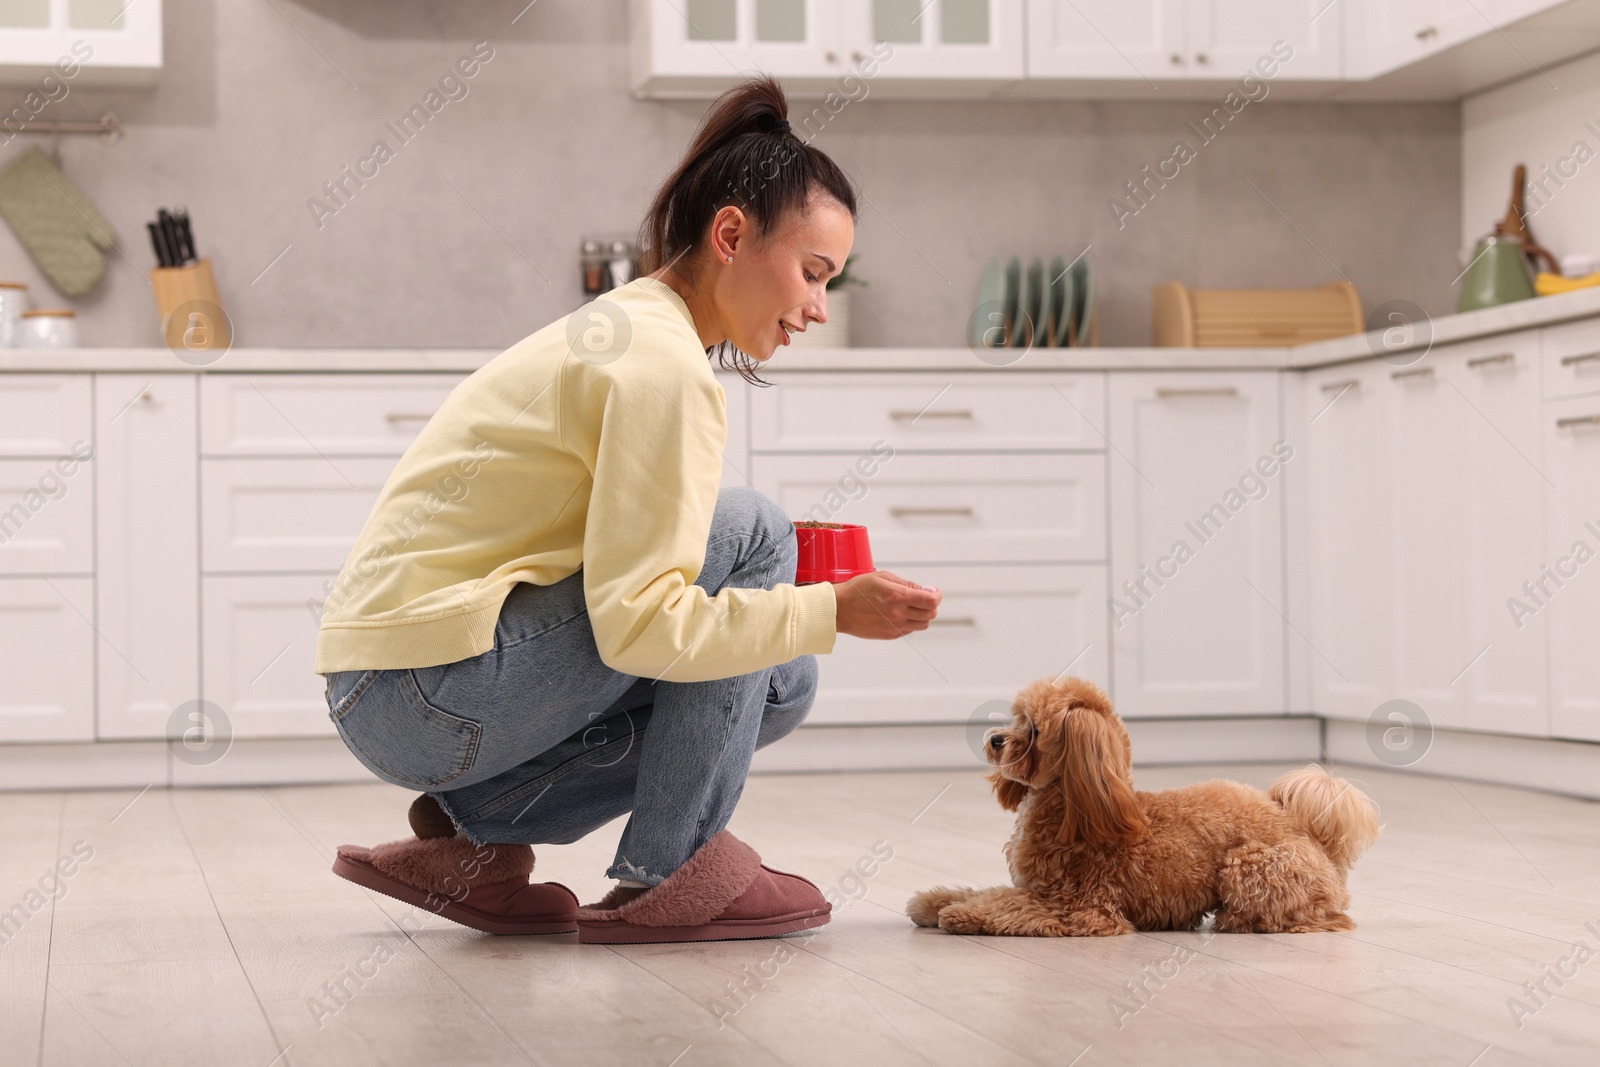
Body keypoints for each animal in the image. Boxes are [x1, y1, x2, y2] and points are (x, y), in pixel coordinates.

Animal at [908, 675, 1382, 934]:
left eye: (1035, 731)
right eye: (1016, 719)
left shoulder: (1079, 908)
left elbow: (1003, 906)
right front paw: (934, 902)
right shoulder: (1034, 888)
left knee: (1318, 918)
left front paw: (957, 914)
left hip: (1249, 866)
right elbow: (986, 891)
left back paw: (1237, 922)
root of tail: (1318, 841)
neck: (1073, 807)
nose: (995, 740)